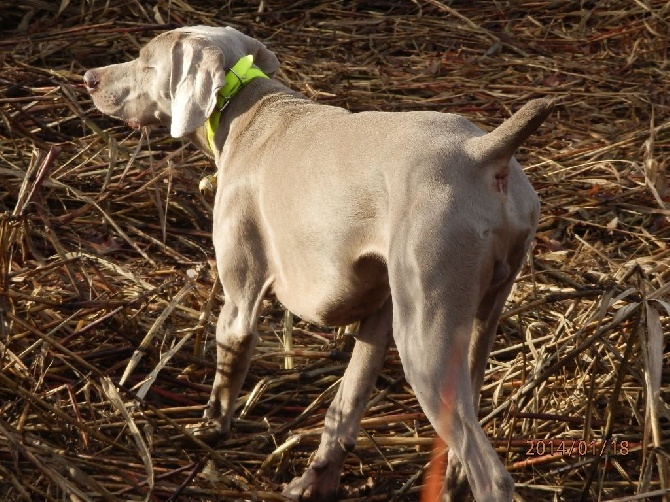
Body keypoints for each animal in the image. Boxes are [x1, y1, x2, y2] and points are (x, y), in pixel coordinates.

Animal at [84, 26, 552, 502]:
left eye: (146, 61)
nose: (89, 78)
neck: (249, 107)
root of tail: (482, 151)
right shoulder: (381, 309)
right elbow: (347, 403)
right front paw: (317, 480)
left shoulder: (240, 297)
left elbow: (230, 360)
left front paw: (209, 430)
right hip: (478, 316)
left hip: (426, 334)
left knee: (489, 472)